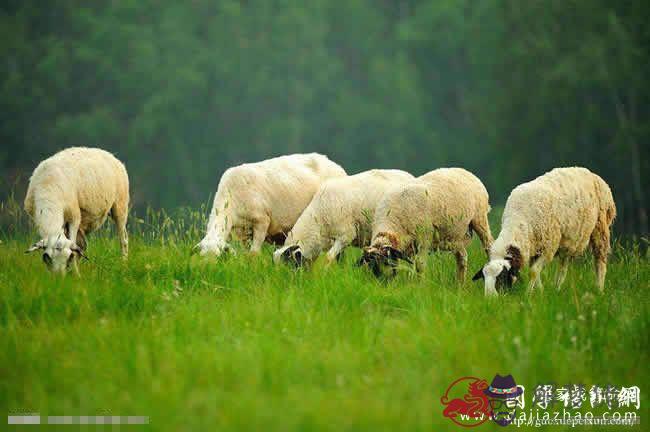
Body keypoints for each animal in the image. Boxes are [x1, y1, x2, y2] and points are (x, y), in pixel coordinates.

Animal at [24, 146, 130, 274]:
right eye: (46, 258)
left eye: (69, 257)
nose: (59, 278)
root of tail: (109, 154)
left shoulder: (74, 217)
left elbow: (74, 247)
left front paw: (75, 274)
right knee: (83, 245)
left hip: (120, 205)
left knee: (123, 239)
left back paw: (124, 264)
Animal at [354, 167, 492, 282]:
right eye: (372, 267)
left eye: (388, 262)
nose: (384, 282)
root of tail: (466, 172)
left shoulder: (424, 238)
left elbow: (420, 265)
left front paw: (420, 285)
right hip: (455, 237)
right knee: (462, 257)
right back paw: (460, 284)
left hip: (480, 219)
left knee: (489, 246)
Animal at [470, 167, 612, 296]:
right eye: (484, 278)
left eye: (502, 277)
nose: (490, 298)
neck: (519, 219)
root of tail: (591, 173)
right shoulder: (534, 246)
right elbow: (536, 272)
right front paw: (540, 290)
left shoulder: (548, 247)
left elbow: (533, 271)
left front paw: (528, 294)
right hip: (567, 240)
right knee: (563, 266)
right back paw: (557, 288)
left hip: (600, 228)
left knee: (600, 261)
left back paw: (599, 288)